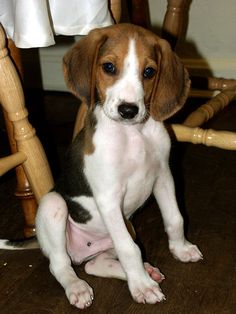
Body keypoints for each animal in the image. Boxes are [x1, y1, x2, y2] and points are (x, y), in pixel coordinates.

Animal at [36, 23, 202, 308]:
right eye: (109, 67)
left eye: (149, 72)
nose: (128, 110)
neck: (133, 133)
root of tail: (82, 253)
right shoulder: (109, 198)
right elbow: (129, 249)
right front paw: (142, 288)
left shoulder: (164, 177)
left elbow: (175, 219)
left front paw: (180, 249)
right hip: (53, 205)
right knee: (60, 265)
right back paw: (78, 287)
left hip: (124, 230)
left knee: (95, 265)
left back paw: (146, 271)